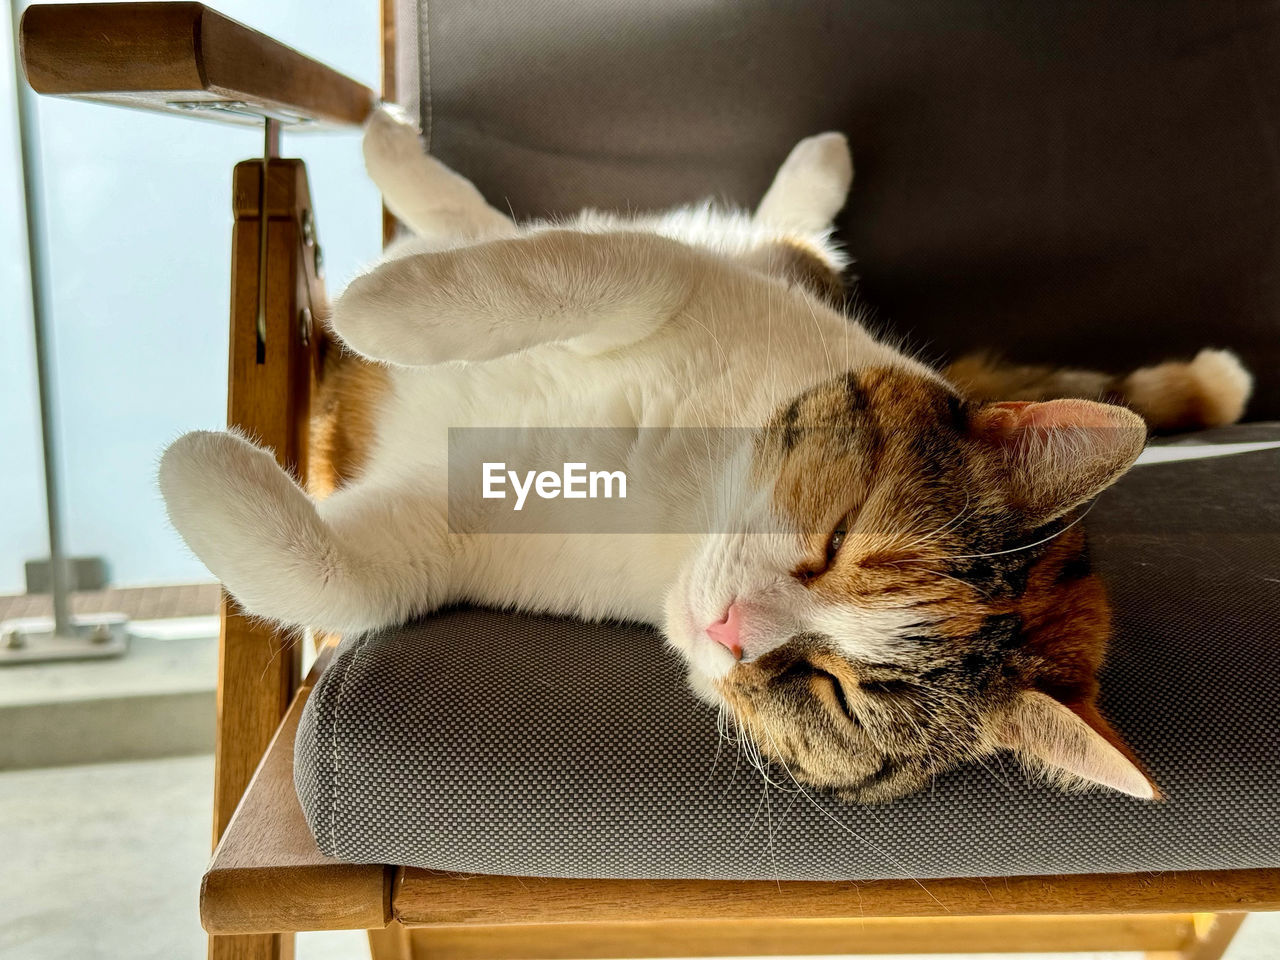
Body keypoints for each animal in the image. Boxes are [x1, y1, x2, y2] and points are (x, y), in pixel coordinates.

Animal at [160, 104, 1249, 803]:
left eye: (833, 693)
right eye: (838, 542)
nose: (730, 630)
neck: (678, 499)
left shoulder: (450, 540)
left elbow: (338, 577)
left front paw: (199, 470)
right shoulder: (677, 284)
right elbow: (585, 270)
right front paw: (388, 311)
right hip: (746, 257)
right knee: (535, 224)